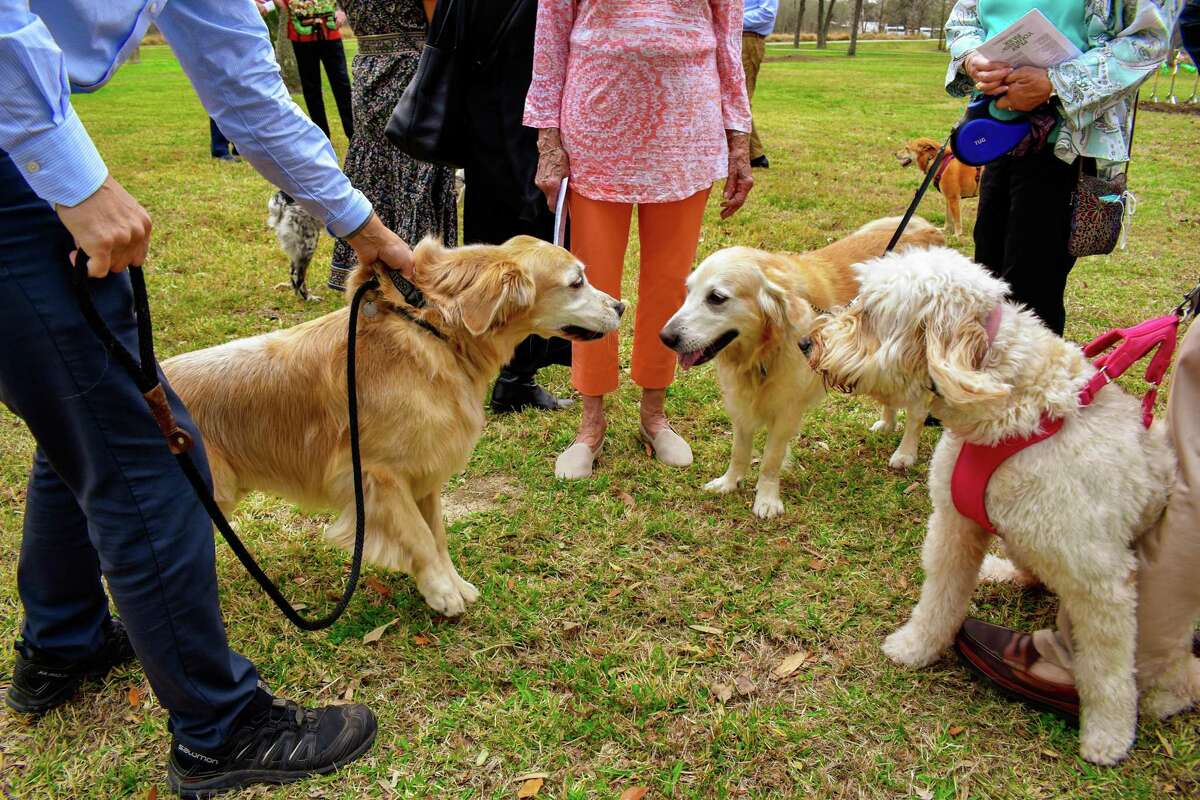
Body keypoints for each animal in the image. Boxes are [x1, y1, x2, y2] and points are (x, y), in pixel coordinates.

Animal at [164, 235, 624, 618]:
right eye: (576, 282)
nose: (621, 306)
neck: (437, 332)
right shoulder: (375, 476)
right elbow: (419, 536)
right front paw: (441, 591)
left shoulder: (424, 473)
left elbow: (437, 534)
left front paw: (454, 583)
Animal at [662, 219, 940, 520]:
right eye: (689, 291)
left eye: (716, 297)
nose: (665, 337)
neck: (764, 351)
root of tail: (927, 228)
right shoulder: (741, 406)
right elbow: (739, 451)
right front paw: (729, 482)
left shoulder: (786, 411)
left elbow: (770, 460)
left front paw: (766, 499)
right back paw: (887, 424)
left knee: (917, 412)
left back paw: (905, 453)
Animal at [801, 247, 1176, 767]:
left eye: (870, 314)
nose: (805, 342)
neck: (1012, 417)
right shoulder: (953, 525)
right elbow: (939, 599)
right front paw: (916, 648)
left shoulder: (1101, 581)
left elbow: (1108, 667)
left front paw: (1109, 737)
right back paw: (999, 571)